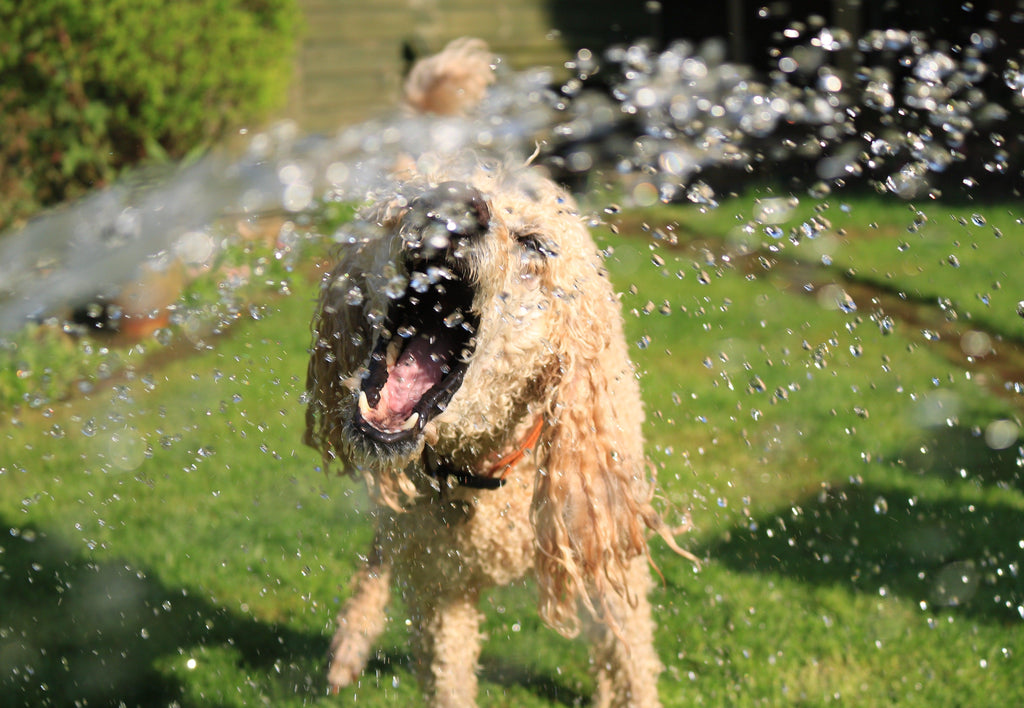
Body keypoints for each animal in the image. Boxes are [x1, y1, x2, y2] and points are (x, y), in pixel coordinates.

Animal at [299, 40, 692, 708]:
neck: (485, 467)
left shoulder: (608, 559)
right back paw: (352, 640)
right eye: (404, 205)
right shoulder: (440, 594)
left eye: (534, 244)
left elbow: (632, 666)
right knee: (381, 549)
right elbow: (447, 675)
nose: (453, 204)